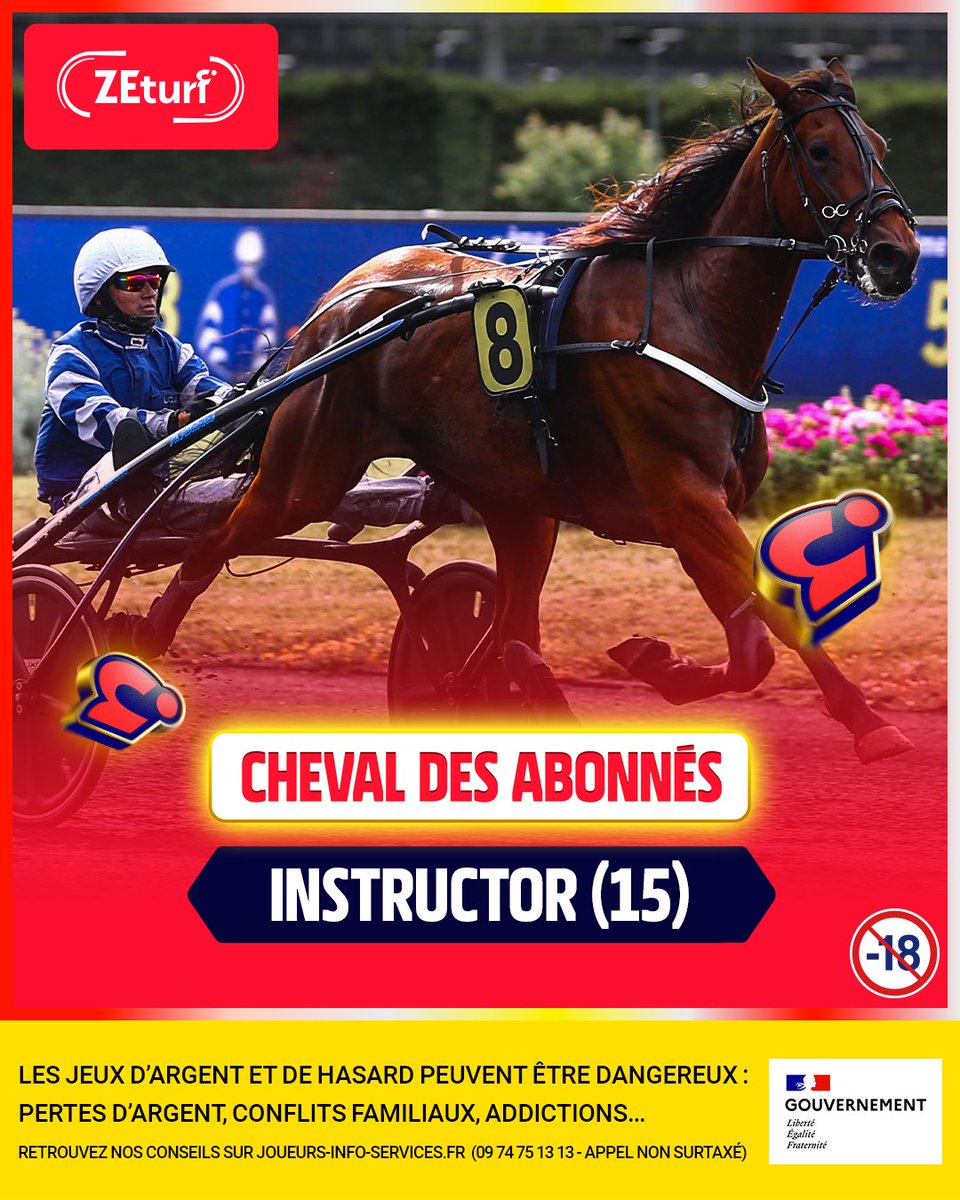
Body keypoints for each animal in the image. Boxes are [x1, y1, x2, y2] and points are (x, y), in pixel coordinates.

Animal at [131, 59, 920, 762]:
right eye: (819, 149)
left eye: (882, 147)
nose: (898, 256)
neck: (685, 313)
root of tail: (338, 307)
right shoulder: (684, 501)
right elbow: (759, 636)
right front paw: (672, 666)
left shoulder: (702, 506)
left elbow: (758, 626)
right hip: (308, 472)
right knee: (211, 544)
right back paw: (139, 643)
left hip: (516, 502)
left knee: (510, 630)